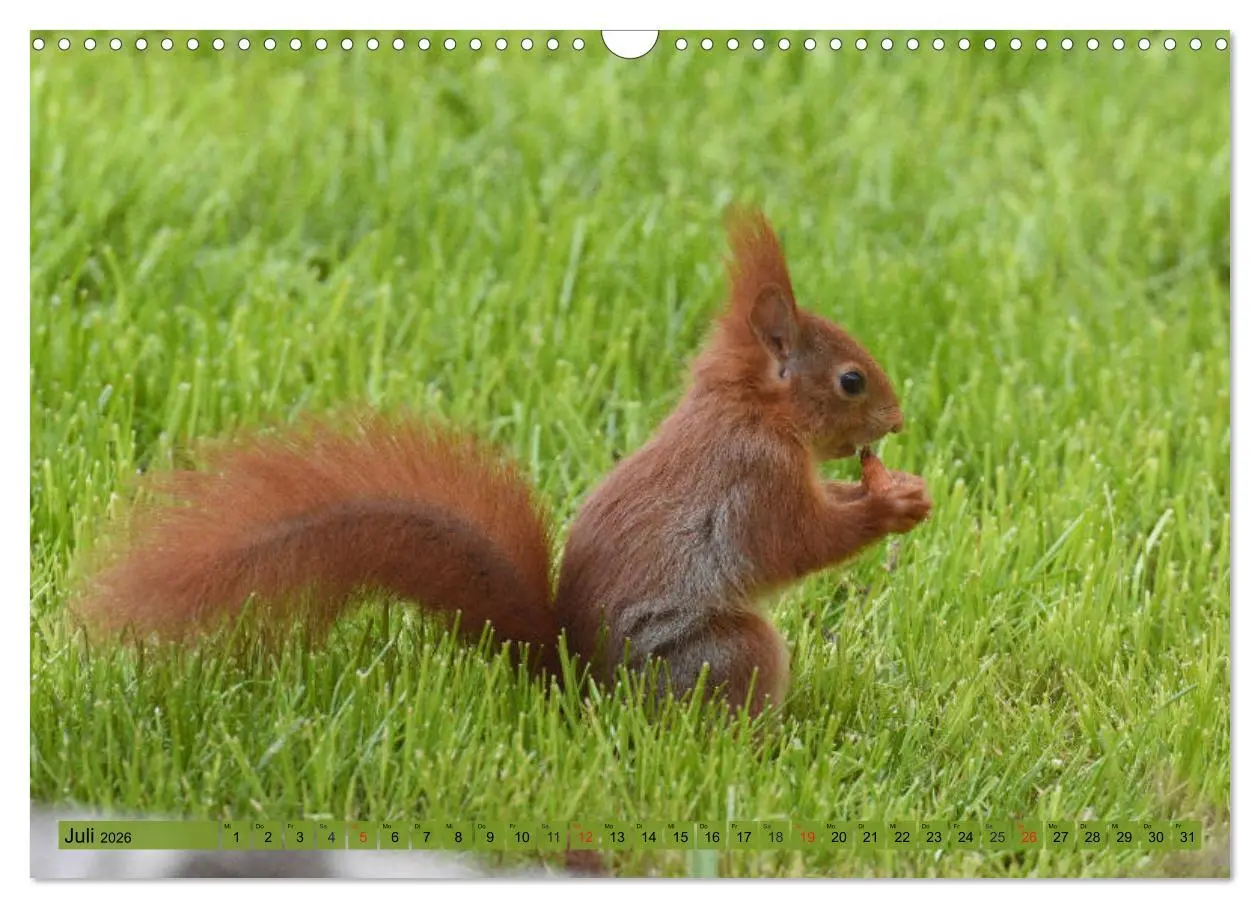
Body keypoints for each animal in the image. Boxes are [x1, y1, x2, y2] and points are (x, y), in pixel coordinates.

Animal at [73, 208, 932, 716]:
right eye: (851, 380)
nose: (898, 420)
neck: (747, 408)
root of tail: (580, 687)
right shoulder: (753, 480)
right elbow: (796, 542)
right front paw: (890, 506)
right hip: (721, 653)